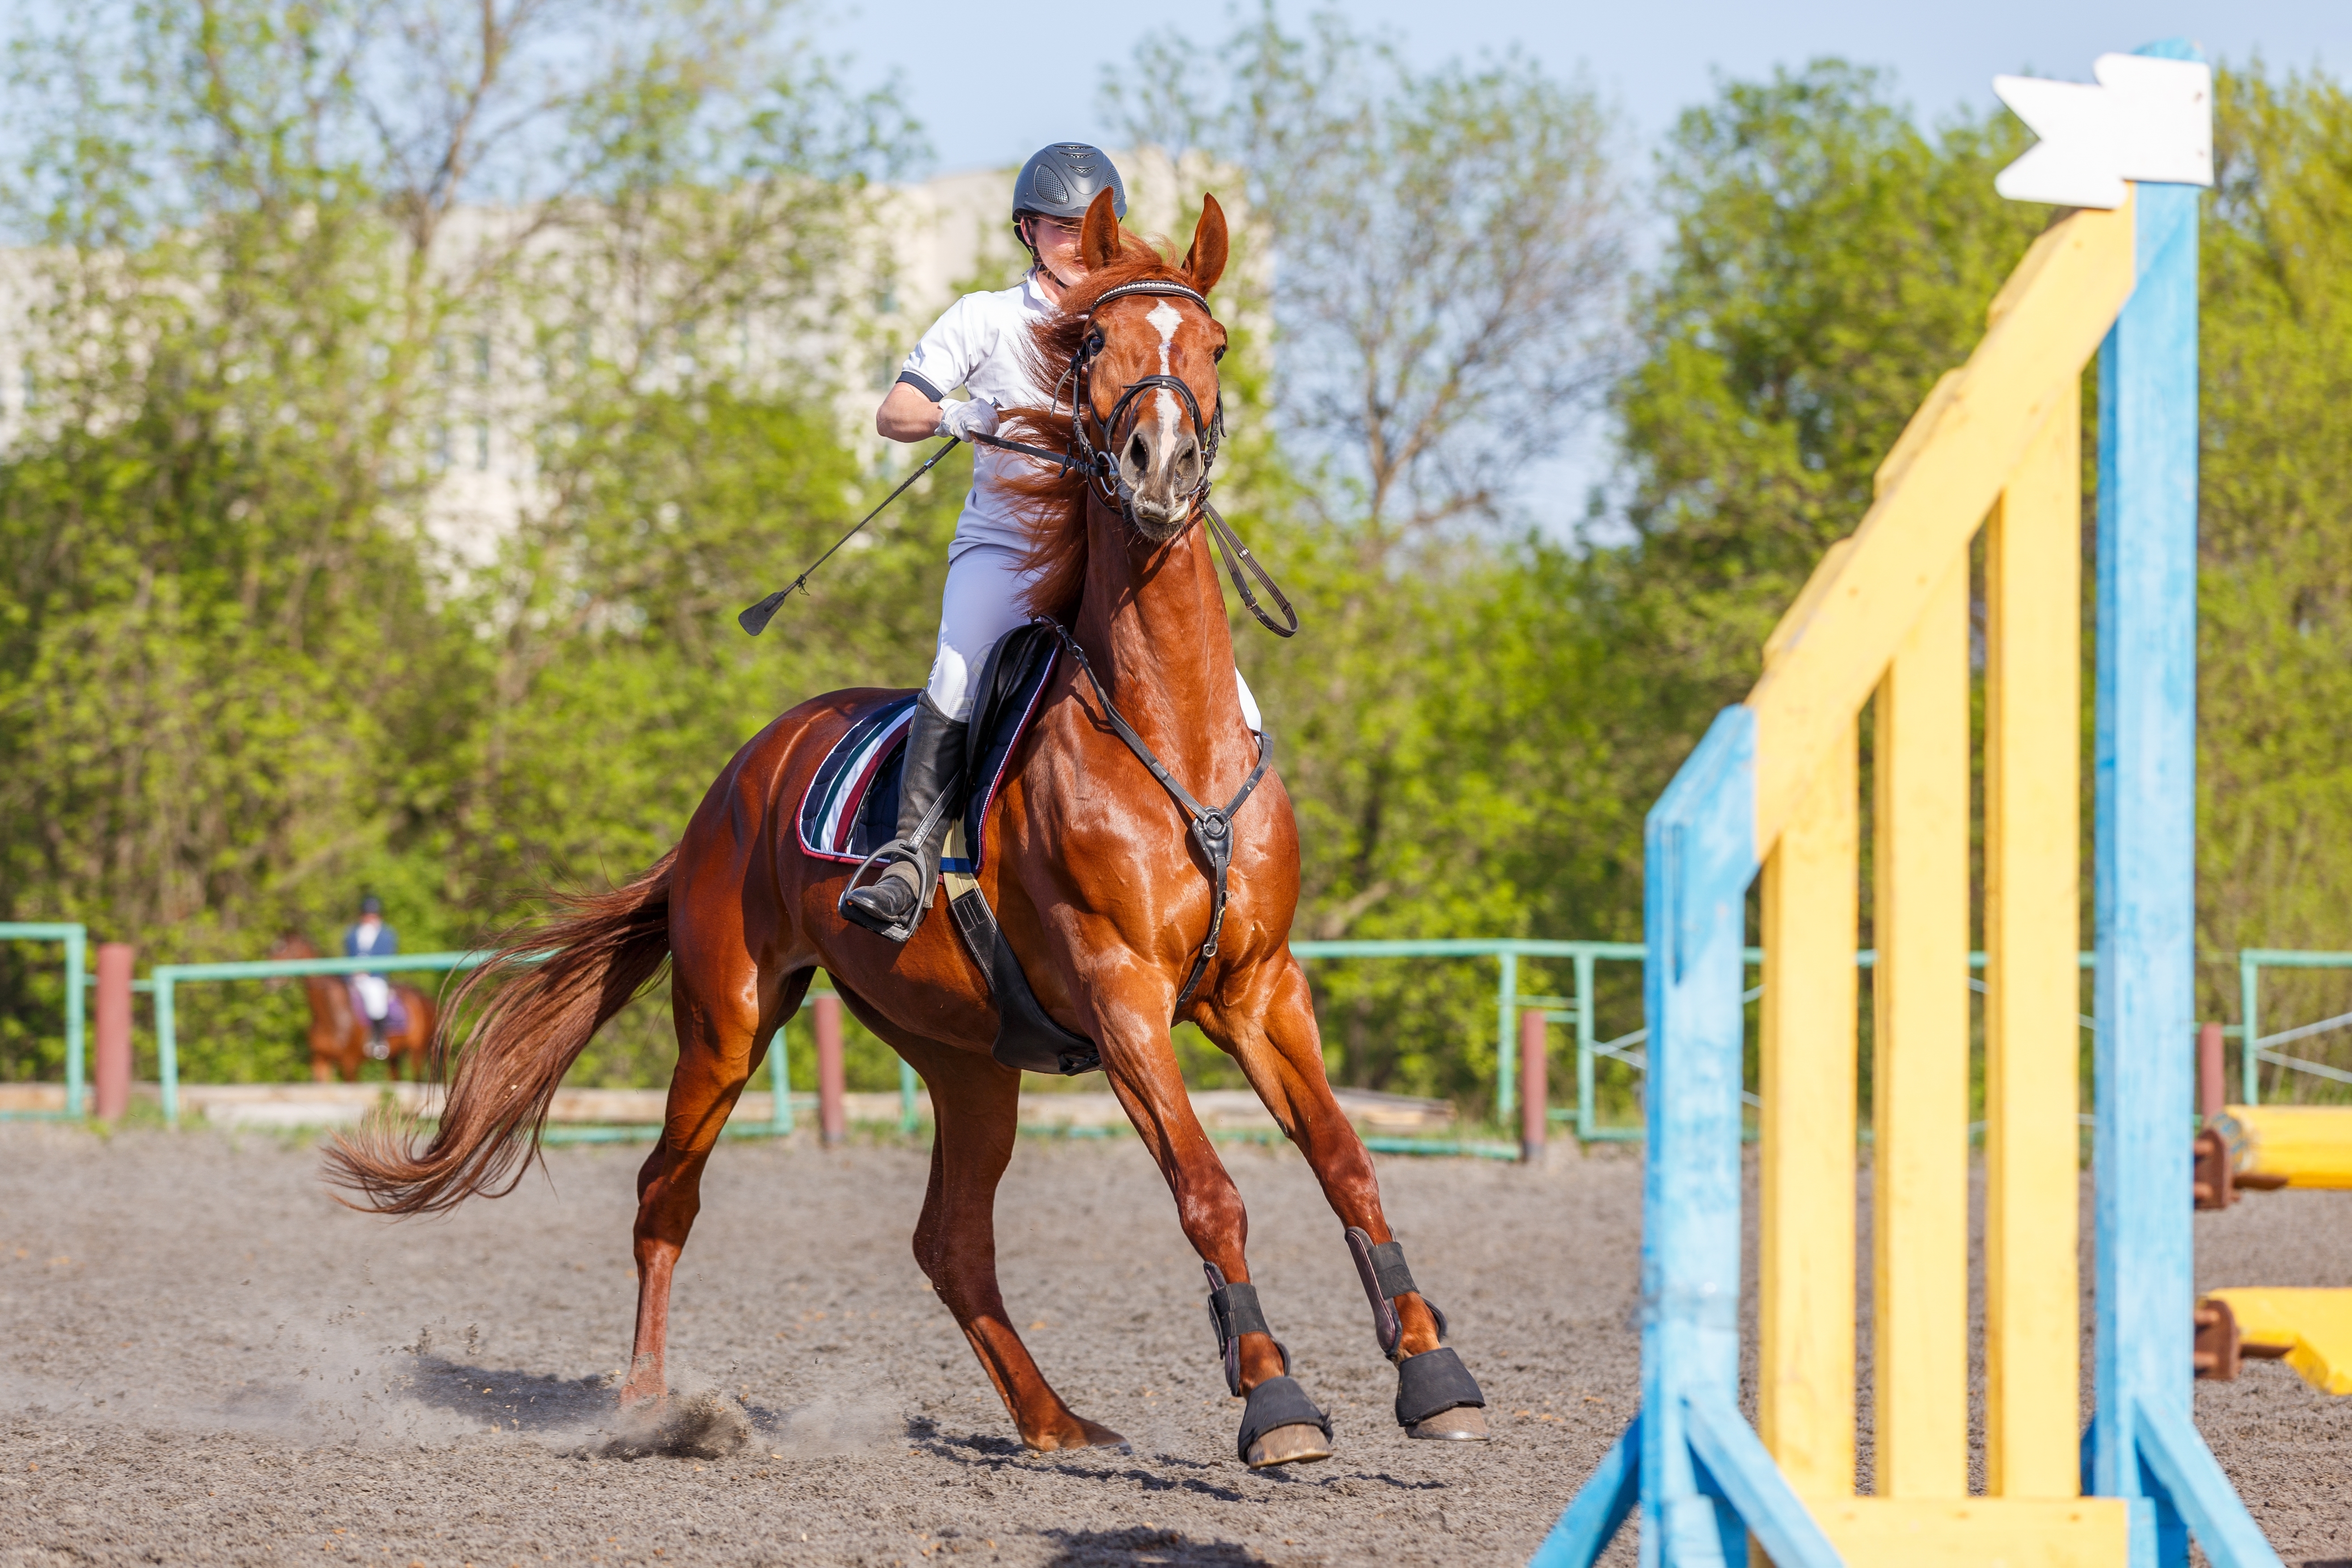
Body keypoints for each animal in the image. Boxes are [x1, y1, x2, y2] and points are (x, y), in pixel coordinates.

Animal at [270, 934, 436, 1083]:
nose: (270, 982)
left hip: (417, 1054)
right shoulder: (320, 1061)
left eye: (287, 951)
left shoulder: (350, 1063)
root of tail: (425, 998)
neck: (330, 1015)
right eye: (274, 950)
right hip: (394, 1057)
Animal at [326, 189, 1490, 1469]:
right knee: (664, 1197)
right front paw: (1274, 1400)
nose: (1162, 468)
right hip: (727, 1021)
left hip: (967, 1060)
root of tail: (733, 780)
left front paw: (1432, 1370)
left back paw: (1054, 1421)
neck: (1170, 732)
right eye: (1092, 345)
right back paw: (648, 1411)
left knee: (949, 1240)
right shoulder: (1124, 994)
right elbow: (1209, 1189)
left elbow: (1346, 1162)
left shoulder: (1260, 989)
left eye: (1216, 345)